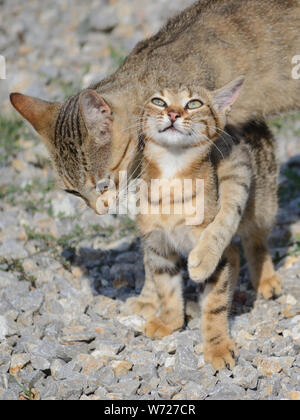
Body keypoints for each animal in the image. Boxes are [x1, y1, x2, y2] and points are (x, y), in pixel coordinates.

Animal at [125, 77, 282, 370]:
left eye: (194, 103)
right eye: (158, 101)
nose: (173, 113)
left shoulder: (216, 254)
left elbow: (215, 305)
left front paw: (217, 346)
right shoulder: (159, 246)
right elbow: (166, 288)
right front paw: (170, 321)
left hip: (263, 206)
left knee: (254, 242)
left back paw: (266, 279)